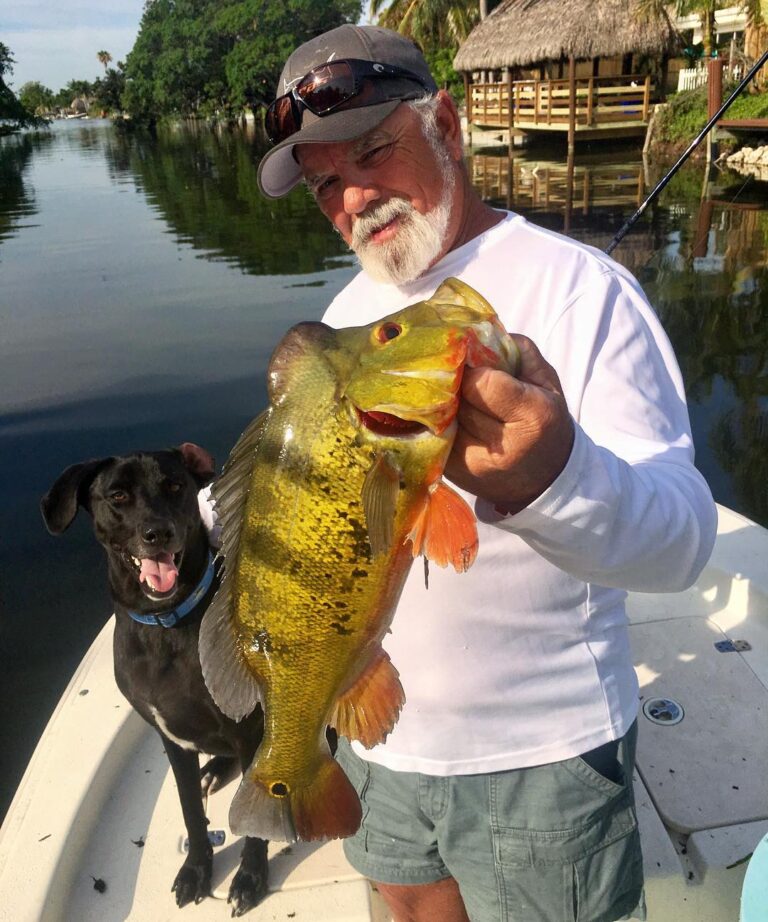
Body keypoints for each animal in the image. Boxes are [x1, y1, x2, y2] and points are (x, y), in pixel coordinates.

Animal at [43, 446, 270, 912]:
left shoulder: (248, 728)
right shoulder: (172, 740)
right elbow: (189, 811)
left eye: (174, 486)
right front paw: (196, 871)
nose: (157, 533)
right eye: (118, 495)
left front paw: (250, 878)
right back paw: (214, 770)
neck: (166, 624)